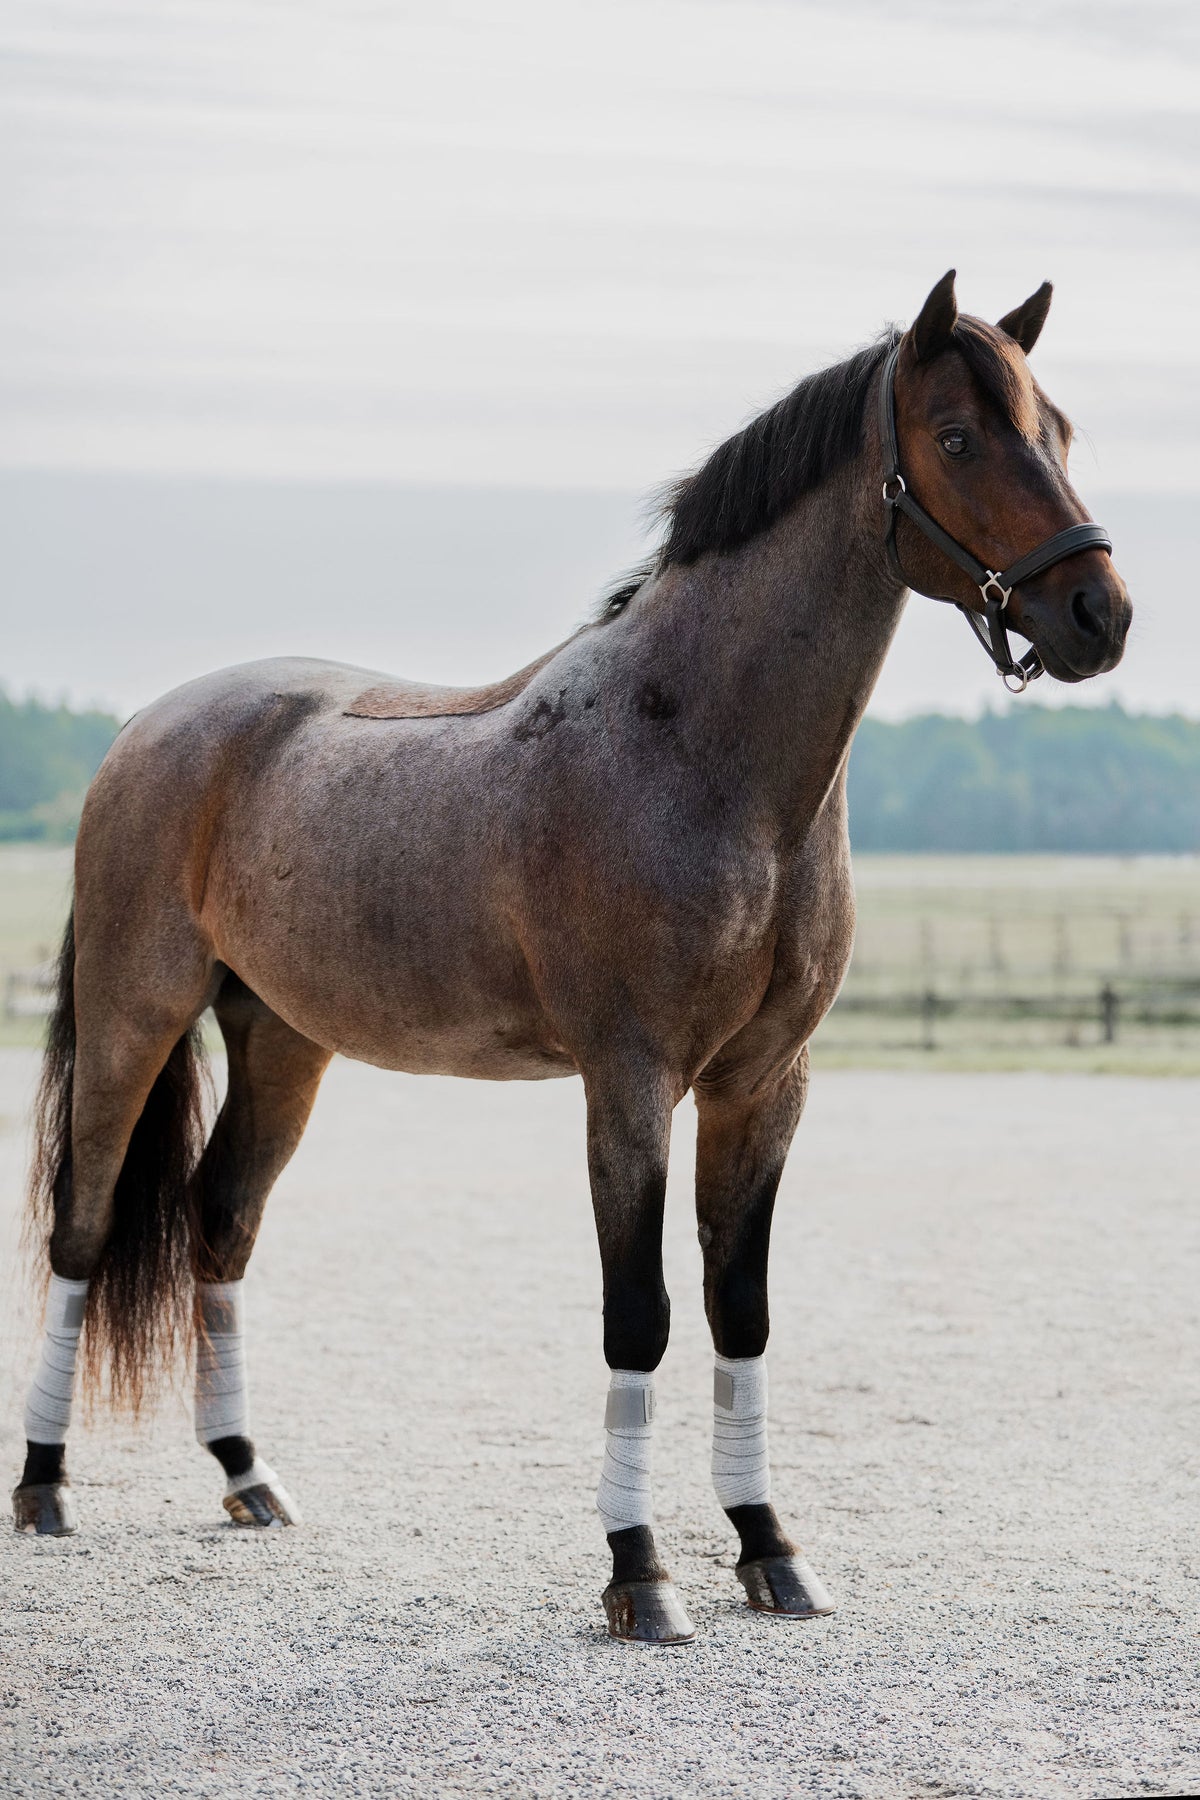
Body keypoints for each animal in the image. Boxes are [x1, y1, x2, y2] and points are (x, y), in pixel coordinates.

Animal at [13, 273, 1131, 1644]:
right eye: (961, 437)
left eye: (1060, 430)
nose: (1100, 614)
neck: (699, 751)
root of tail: (147, 730)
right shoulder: (630, 1081)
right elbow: (637, 1316)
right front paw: (639, 1572)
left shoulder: (765, 1086)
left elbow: (741, 1309)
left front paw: (769, 1548)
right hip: (136, 1013)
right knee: (82, 1229)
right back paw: (47, 1486)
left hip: (282, 1042)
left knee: (221, 1227)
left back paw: (247, 1474)